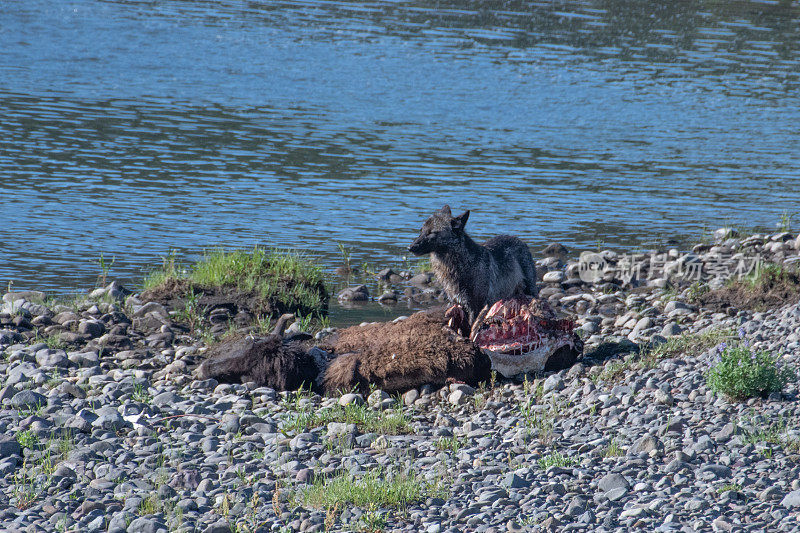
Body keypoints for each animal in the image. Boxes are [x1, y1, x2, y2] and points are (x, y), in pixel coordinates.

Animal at [406, 205, 536, 322]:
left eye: (431, 233)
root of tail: (521, 242)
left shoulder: (476, 307)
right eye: (421, 231)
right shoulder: (457, 303)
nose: (410, 247)